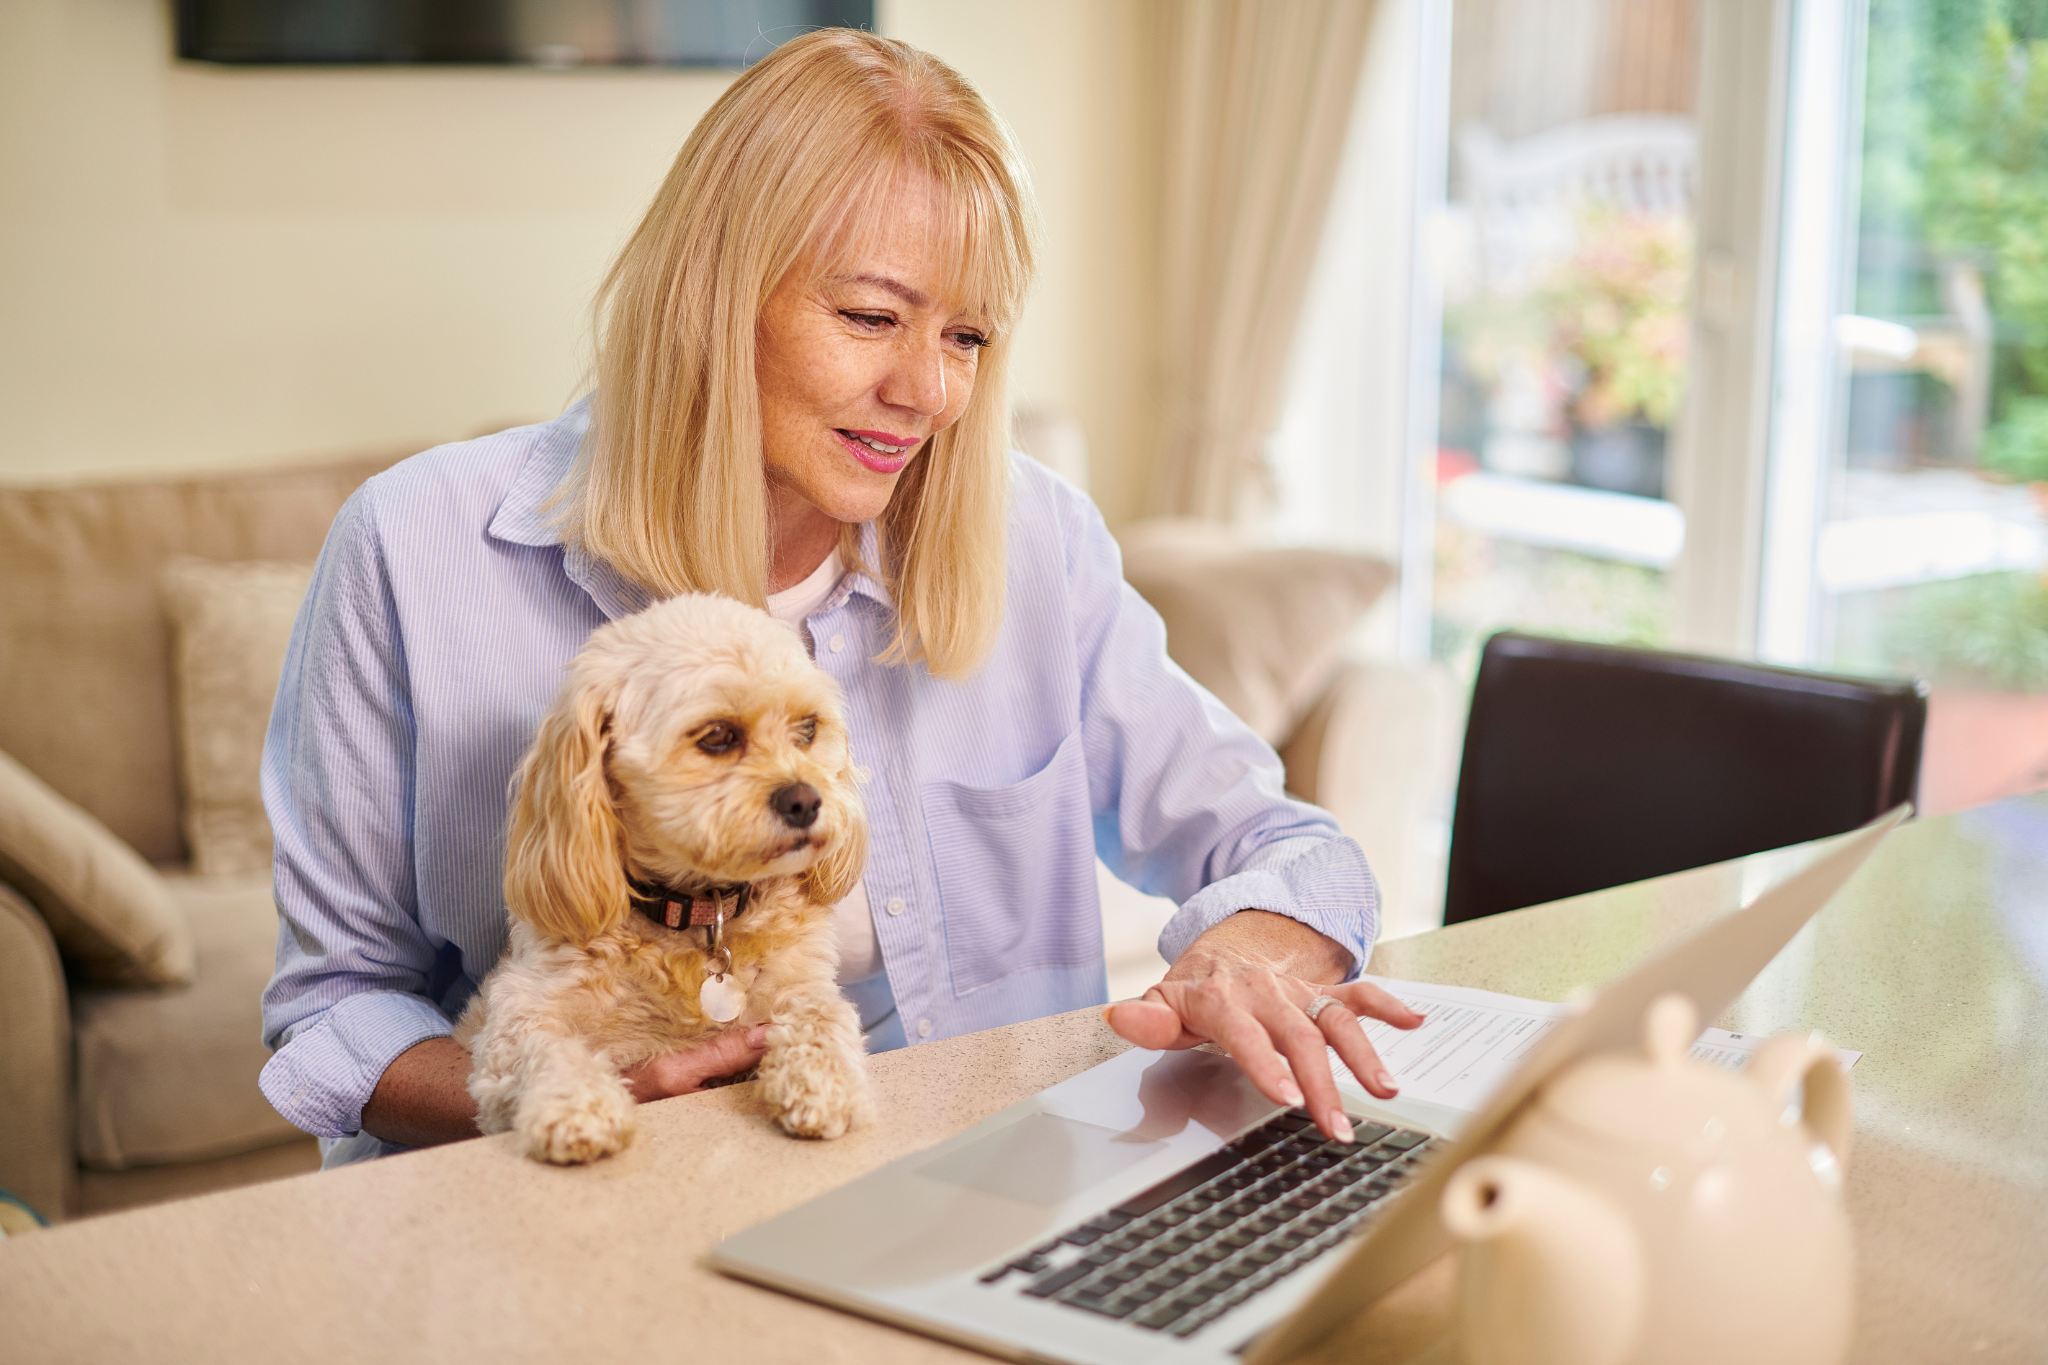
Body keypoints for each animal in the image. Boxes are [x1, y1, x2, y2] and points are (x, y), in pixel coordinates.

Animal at [460, 593, 876, 1162]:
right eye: (718, 736)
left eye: (808, 729)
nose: (806, 800)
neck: (700, 912)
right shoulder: (514, 1020)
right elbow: (548, 1048)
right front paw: (577, 1105)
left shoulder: (799, 985)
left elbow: (822, 1015)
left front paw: (821, 1081)